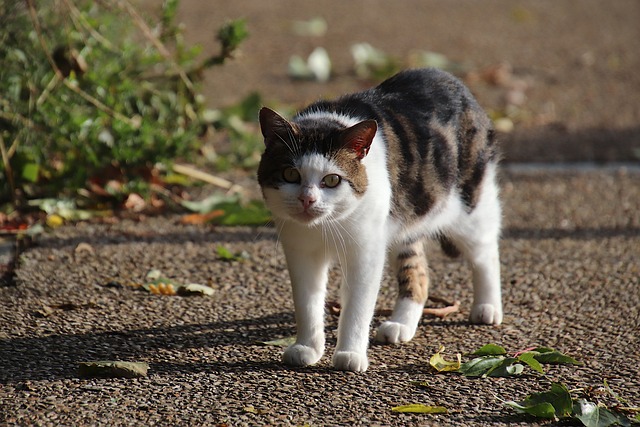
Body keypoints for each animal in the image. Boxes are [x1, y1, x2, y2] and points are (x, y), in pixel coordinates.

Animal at [258, 67, 502, 372]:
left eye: (332, 180)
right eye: (290, 175)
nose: (307, 200)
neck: (325, 226)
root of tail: (449, 78)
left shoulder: (366, 252)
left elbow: (358, 306)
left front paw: (350, 354)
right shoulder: (300, 251)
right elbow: (307, 303)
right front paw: (307, 348)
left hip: (469, 205)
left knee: (484, 251)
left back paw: (488, 307)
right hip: (405, 219)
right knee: (418, 272)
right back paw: (401, 324)